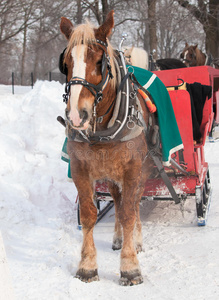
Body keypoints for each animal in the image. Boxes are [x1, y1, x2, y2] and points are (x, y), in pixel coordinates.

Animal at [59, 9, 154, 286]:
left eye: (100, 61)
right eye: (66, 62)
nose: (76, 115)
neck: (102, 129)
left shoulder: (133, 169)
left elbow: (129, 212)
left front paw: (130, 266)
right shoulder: (80, 168)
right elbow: (89, 215)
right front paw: (87, 266)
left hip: (142, 170)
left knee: (133, 203)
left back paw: (136, 240)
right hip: (112, 175)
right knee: (118, 200)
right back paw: (119, 238)